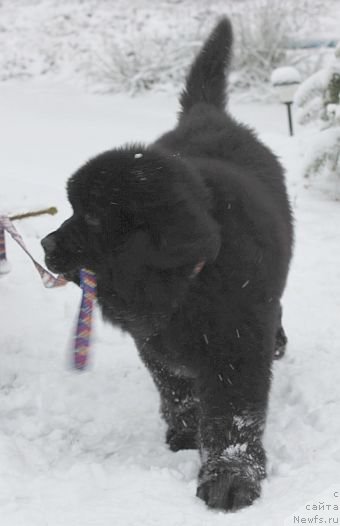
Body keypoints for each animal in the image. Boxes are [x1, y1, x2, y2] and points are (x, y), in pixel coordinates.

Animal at [41, 18, 292, 512]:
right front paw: (184, 434)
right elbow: (175, 389)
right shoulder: (154, 340)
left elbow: (232, 416)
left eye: (92, 217)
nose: (44, 243)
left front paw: (230, 476)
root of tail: (206, 114)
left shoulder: (236, 345)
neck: (190, 283)